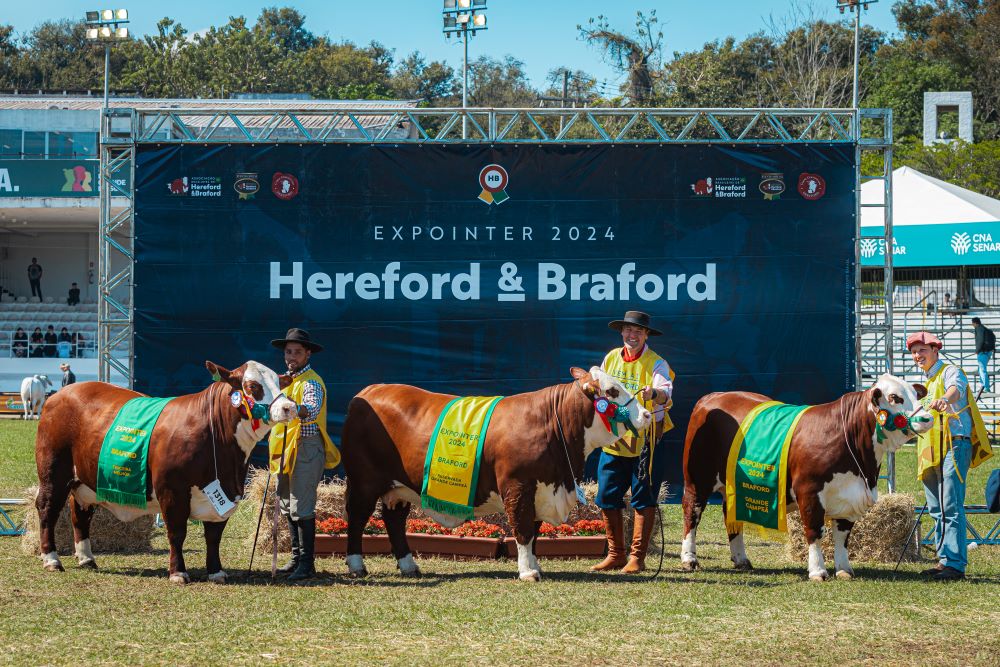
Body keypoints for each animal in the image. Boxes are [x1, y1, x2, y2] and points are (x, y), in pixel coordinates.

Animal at [36, 360, 300, 584]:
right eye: (252, 386)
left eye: (279, 383)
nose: (289, 407)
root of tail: (61, 393)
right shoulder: (171, 491)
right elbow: (177, 532)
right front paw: (178, 572)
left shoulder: (226, 493)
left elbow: (214, 535)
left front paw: (216, 571)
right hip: (53, 471)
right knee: (47, 509)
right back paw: (51, 560)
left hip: (83, 481)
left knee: (80, 513)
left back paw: (86, 558)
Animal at [344, 368, 656, 580]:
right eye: (612, 391)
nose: (646, 415)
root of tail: (370, 390)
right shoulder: (519, 486)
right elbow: (523, 529)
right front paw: (528, 572)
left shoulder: (541, 488)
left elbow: (535, 532)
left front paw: (534, 564)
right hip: (363, 481)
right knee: (358, 517)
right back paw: (357, 565)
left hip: (398, 487)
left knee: (394, 519)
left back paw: (409, 565)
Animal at [680, 374, 928, 580]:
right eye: (894, 397)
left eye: (916, 395)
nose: (927, 417)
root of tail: (714, 396)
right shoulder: (809, 491)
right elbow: (815, 531)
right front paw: (817, 570)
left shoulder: (849, 496)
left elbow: (842, 536)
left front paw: (844, 569)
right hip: (697, 478)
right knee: (692, 511)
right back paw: (689, 558)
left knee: (731, 517)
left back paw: (741, 559)